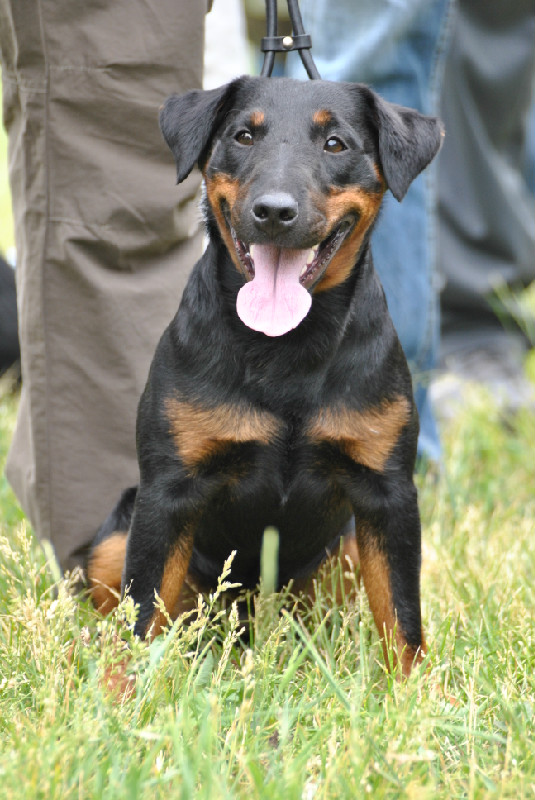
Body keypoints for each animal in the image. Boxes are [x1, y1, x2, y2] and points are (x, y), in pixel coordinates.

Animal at [88, 76, 442, 676]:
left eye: (336, 145)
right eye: (243, 136)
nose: (274, 211)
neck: (286, 346)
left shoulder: (387, 494)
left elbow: (402, 617)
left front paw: (416, 692)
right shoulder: (166, 495)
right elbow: (141, 614)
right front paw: (120, 690)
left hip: (346, 547)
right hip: (117, 533)